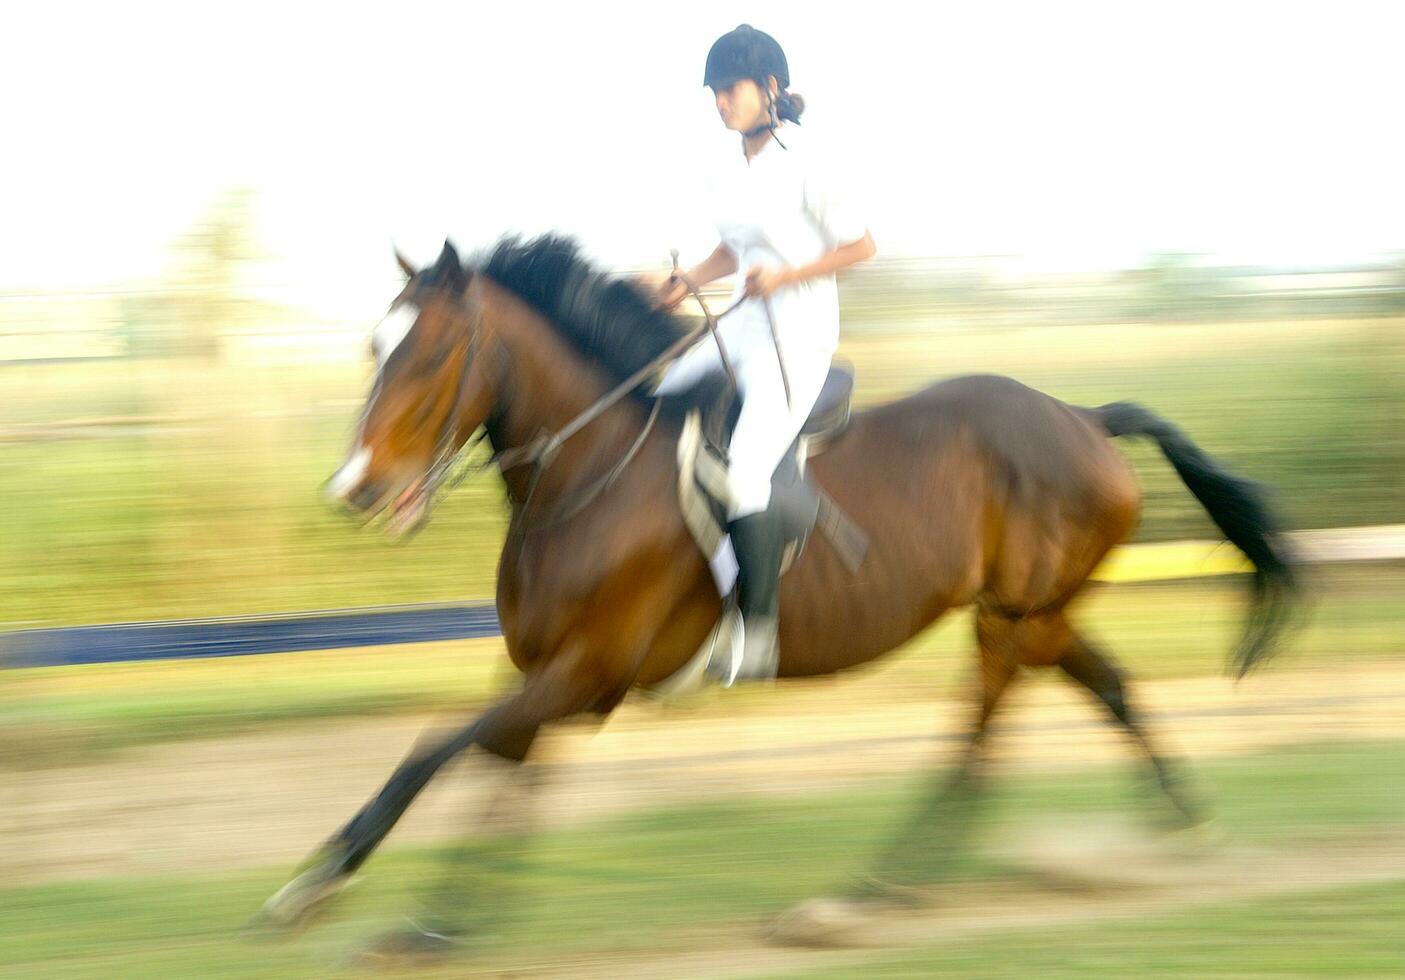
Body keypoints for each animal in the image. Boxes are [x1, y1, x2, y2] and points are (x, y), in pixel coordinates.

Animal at [261, 233, 1292, 943]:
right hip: (1033, 614)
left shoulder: (586, 673)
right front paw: (438, 926)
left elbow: (432, 754)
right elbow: (498, 775)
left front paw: (317, 884)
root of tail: (1083, 417)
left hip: (1009, 622)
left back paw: (864, 893)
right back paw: (1187, 832)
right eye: (374, 348)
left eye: (431, 354)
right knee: (1105, 689)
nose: (352, 489)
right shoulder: (546, 674)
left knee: (976, 741)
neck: (586, 474)